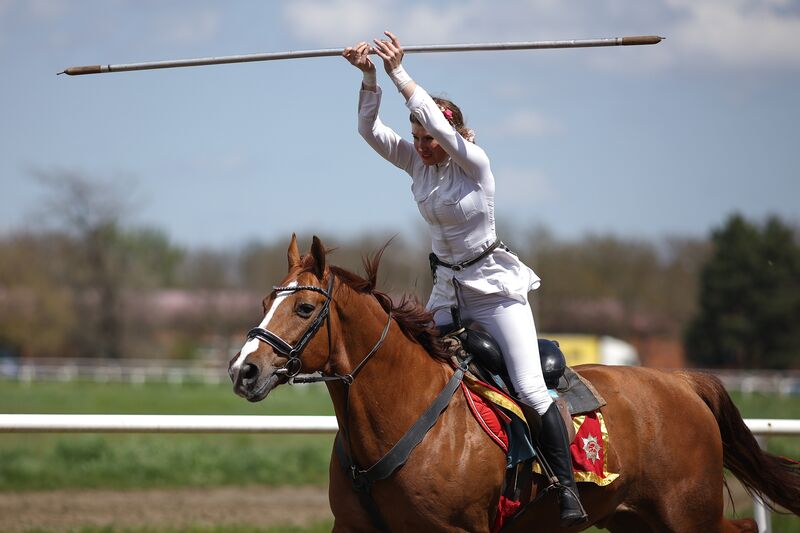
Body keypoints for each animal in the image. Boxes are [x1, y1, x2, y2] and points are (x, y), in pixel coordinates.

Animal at [228, 235, 800, 532]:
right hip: (637, 519)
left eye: (305, 308)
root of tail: (681, 382)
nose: (243, 369)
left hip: (687, 514)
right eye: (266, 302)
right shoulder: (352, 527)